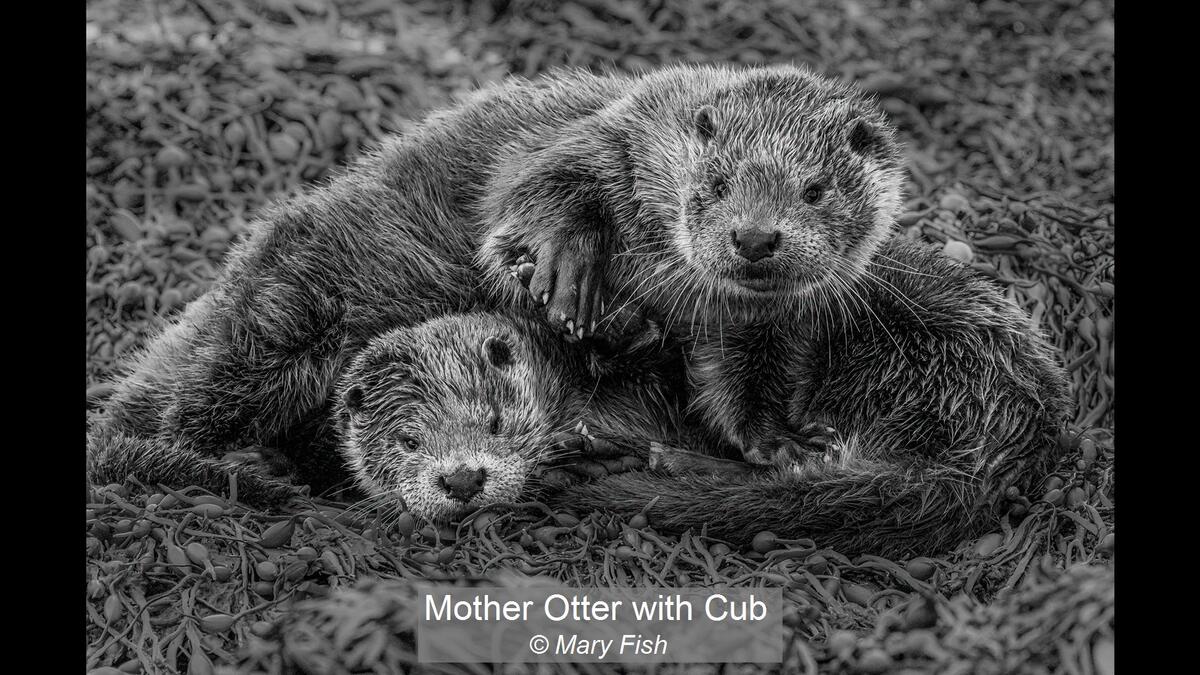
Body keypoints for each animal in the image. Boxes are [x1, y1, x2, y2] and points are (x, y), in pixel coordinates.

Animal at [482, 65, 1075, 554]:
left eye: (814, 191)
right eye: (718, 183)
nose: (755, 236)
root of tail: (1006, 441)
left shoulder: (774, 333)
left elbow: (745, 396)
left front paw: (774, 443)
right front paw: (568, 275)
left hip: (913, 360)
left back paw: (654, 458)